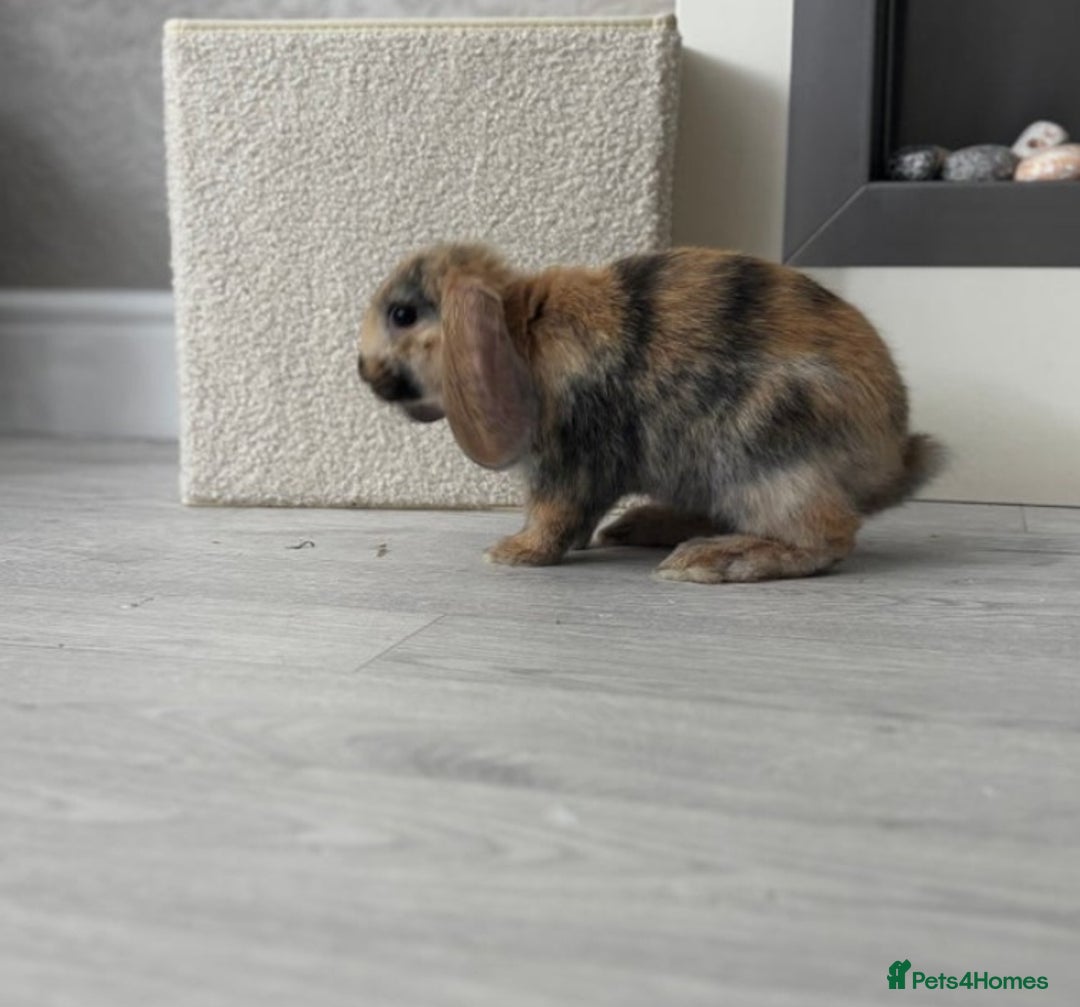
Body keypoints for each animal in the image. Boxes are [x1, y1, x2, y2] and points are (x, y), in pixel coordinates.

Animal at [357, 243, 943, 583]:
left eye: (403, 315)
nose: (363, 371)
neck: (520, 333)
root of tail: (890, 457)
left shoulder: (571, 460)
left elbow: (553, 515)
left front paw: (513, 552)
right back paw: (641, 527)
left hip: (764, 449)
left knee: (827, 535)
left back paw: (712, 560)